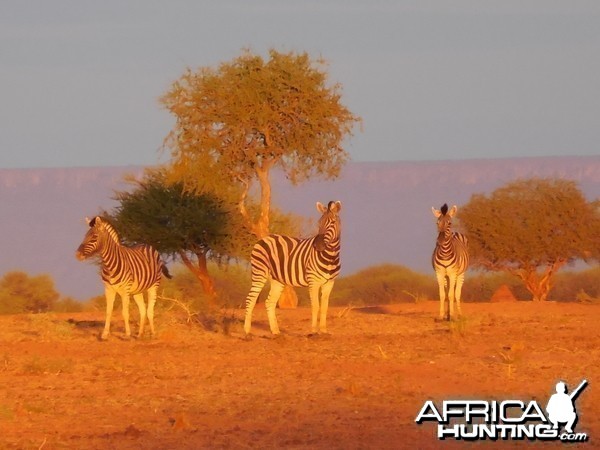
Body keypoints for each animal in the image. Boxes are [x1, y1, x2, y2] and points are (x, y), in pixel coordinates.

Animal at [241, 201, 340, 338]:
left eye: (333, 222)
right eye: (319, 223)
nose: (318, 245)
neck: (330, 257)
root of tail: (263, 239)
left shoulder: (329, 283)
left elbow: (325, 307)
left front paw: (324, 331)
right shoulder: (313, 282)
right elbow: (315, 306)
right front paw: (314, 331)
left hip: (277, 279)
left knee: (269, 302)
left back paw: (275, 331)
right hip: (259, 272)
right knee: (250, 299)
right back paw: (247, 332)